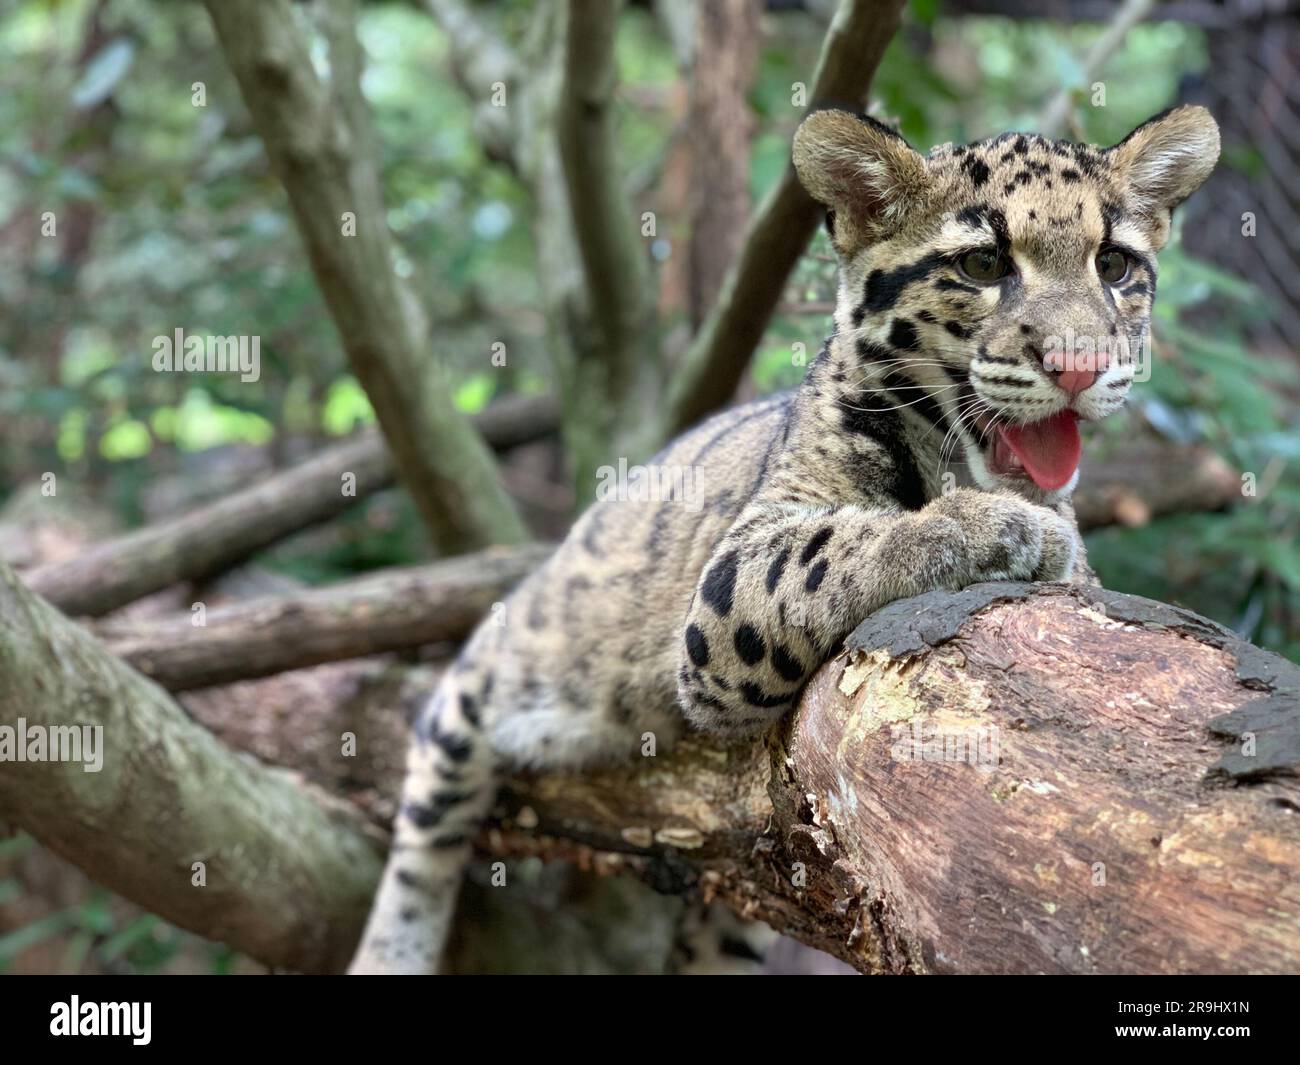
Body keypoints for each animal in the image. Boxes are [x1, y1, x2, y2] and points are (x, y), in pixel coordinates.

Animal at [349, 104, 1220, 973]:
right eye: (981, 263)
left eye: (1114, 264)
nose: (1081, 366)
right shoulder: (733, 578)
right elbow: (844, 542)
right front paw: (997, 527)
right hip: (492, 674)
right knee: (427, 816)